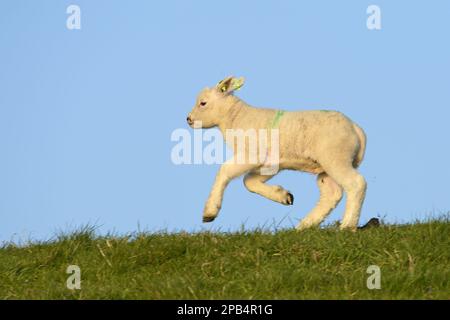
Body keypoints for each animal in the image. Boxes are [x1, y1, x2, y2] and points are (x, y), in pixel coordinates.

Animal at [186, 75, 366, 230]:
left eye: (203, 103)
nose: (188, 119)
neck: (236, 118)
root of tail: (355, 128)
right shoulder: (270, 163)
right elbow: (249, 182)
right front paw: (284, 196)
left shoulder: (252, 155)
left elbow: (224, 171)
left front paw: (210, 212)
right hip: (327, 166)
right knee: (331, 193)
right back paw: (304, 226)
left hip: (335, 157)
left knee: (356, 183)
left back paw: (347, 225)